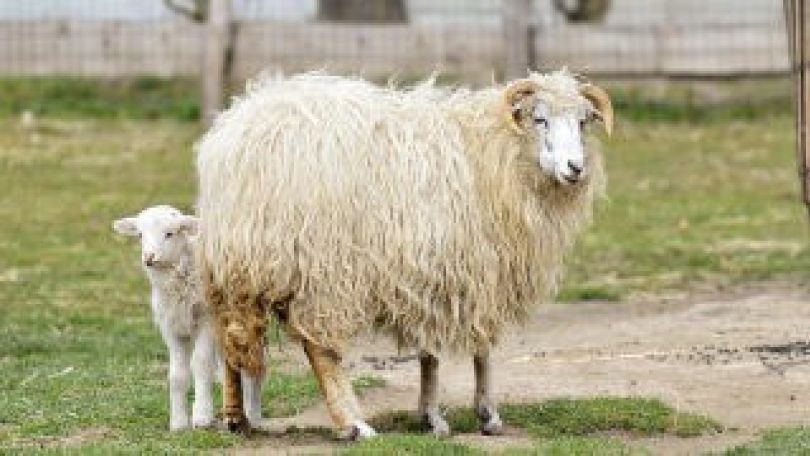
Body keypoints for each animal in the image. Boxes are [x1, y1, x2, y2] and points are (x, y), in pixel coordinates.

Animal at [112, 205, 265, 430]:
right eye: (140, 235)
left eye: (169, 234)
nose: (149, 257)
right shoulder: (171, 327)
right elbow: (177, 375)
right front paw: (178, 422)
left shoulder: (207, 321)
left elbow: (200, 364)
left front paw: (201, 415)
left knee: (252, 363)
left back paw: (253, 414)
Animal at [195, 70, 613, 437]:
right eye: (540, 119)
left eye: (583, 122)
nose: (576, 168)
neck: (493, 153)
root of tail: (233, 139)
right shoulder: (461, 267)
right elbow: (466, 349)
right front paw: (471, 414)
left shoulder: (447, 271)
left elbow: (454, 351)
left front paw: (441, 416)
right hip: (321, 267)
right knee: (320, 349)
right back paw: (353, 424)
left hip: (236, 265)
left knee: (232, 337)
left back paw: (236, 419)